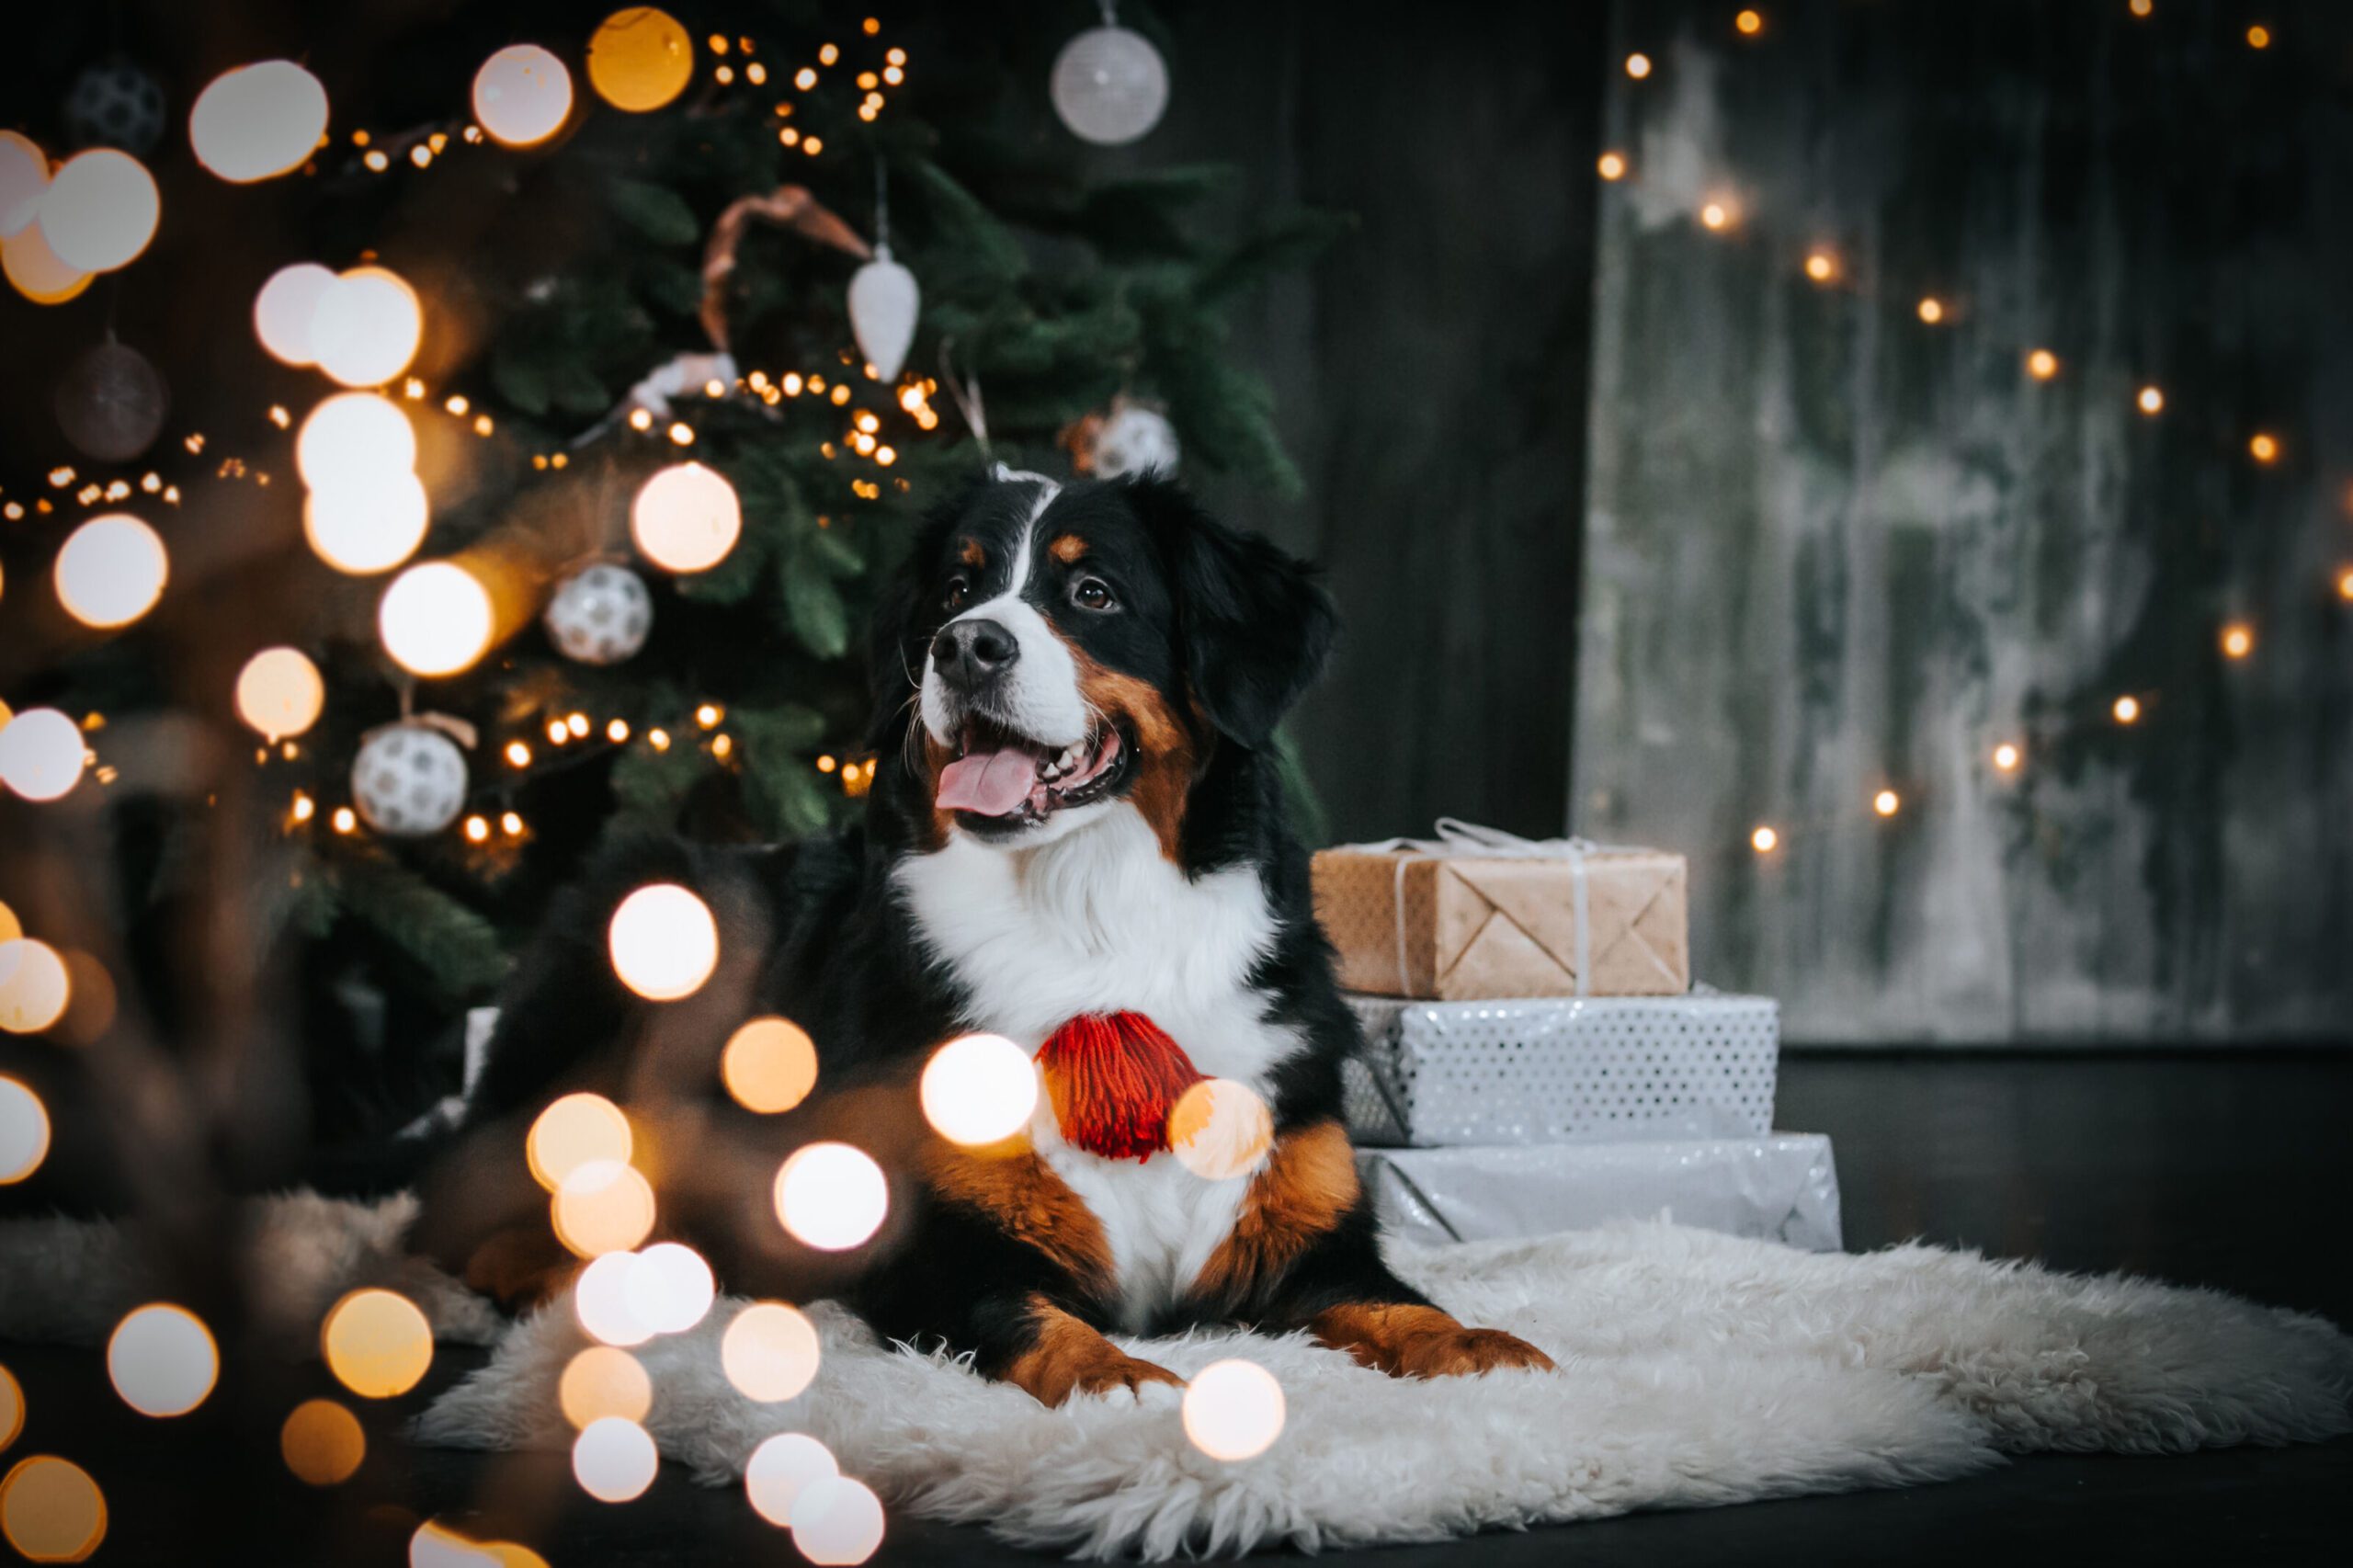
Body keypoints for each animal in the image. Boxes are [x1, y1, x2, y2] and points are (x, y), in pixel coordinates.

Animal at [414, 471, 1552, 1393]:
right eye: (955, 594)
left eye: (1092, 592)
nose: (965, 646)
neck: (1090, 917)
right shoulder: (933, 1245)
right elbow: (1036, 1319)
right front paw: (1122, 1380)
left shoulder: (1305, 1235)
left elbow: (1405, 1304)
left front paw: (1488, 1349)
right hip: (658, 917)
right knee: (467, 1220)